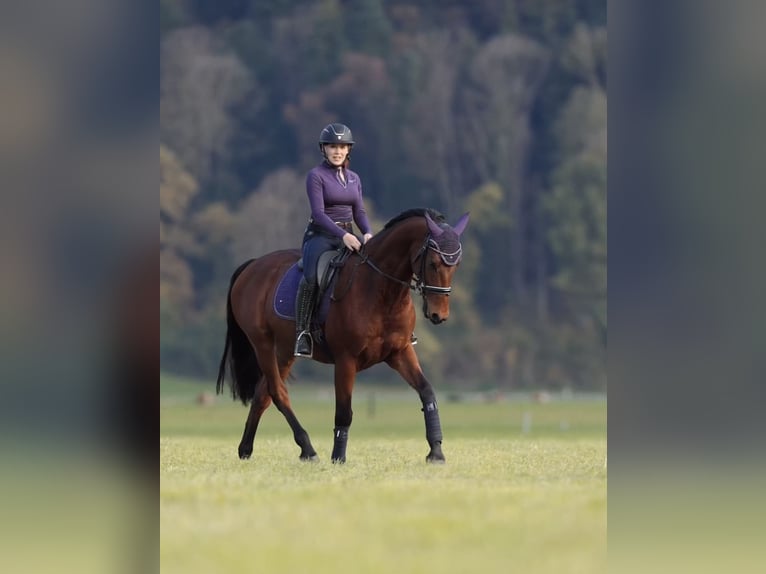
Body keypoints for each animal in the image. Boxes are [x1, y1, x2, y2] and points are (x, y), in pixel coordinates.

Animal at [215, 207, 469, 463]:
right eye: (434, 264)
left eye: (456, 265)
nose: (439, 315)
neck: (381, 290)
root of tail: (253, 265)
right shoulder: (346, 359)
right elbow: (344, 411)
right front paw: (338, 457)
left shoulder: (400, 352)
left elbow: (427, 392)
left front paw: (436, 451)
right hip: (263, 345)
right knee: (278, 392)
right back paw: (308, 449)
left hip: (286, 350)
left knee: (262, 395)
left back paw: (246, 449)